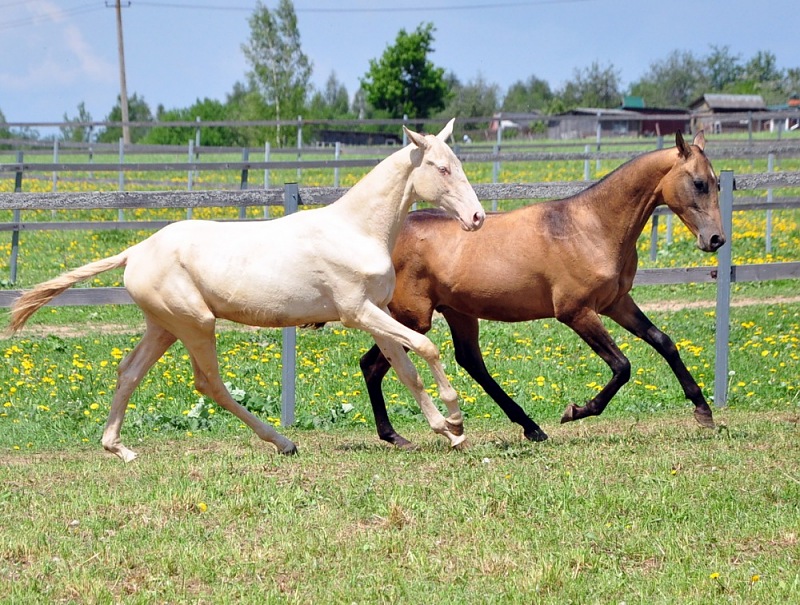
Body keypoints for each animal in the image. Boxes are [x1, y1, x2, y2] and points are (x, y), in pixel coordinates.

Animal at [5, 119, 486, 462]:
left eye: (460, 165)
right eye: (442, 168)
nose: (477, 218)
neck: (355, 230)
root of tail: (135, 250)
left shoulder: (377, 312)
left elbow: (404, 369)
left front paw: (447, 434)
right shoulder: (357, 311)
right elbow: (426, 348)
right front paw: (456, 418)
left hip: (164, 327)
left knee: (129, 372)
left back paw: (118, 448)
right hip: (196, 323)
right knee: (208, 384)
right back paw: (282, 442)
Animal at [359, 131, 725, 448]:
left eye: (718, 182)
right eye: (698, 183)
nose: (715, 239)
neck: (592, 227)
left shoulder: (617, 303)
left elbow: (664, 342)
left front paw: (703, 410)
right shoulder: (576, 312)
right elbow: (622, 366)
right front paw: (576, 411)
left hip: (458, 313)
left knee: (470, 362)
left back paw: (530, 427)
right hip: (412, 317)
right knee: (373, 365)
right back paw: (395, 435)